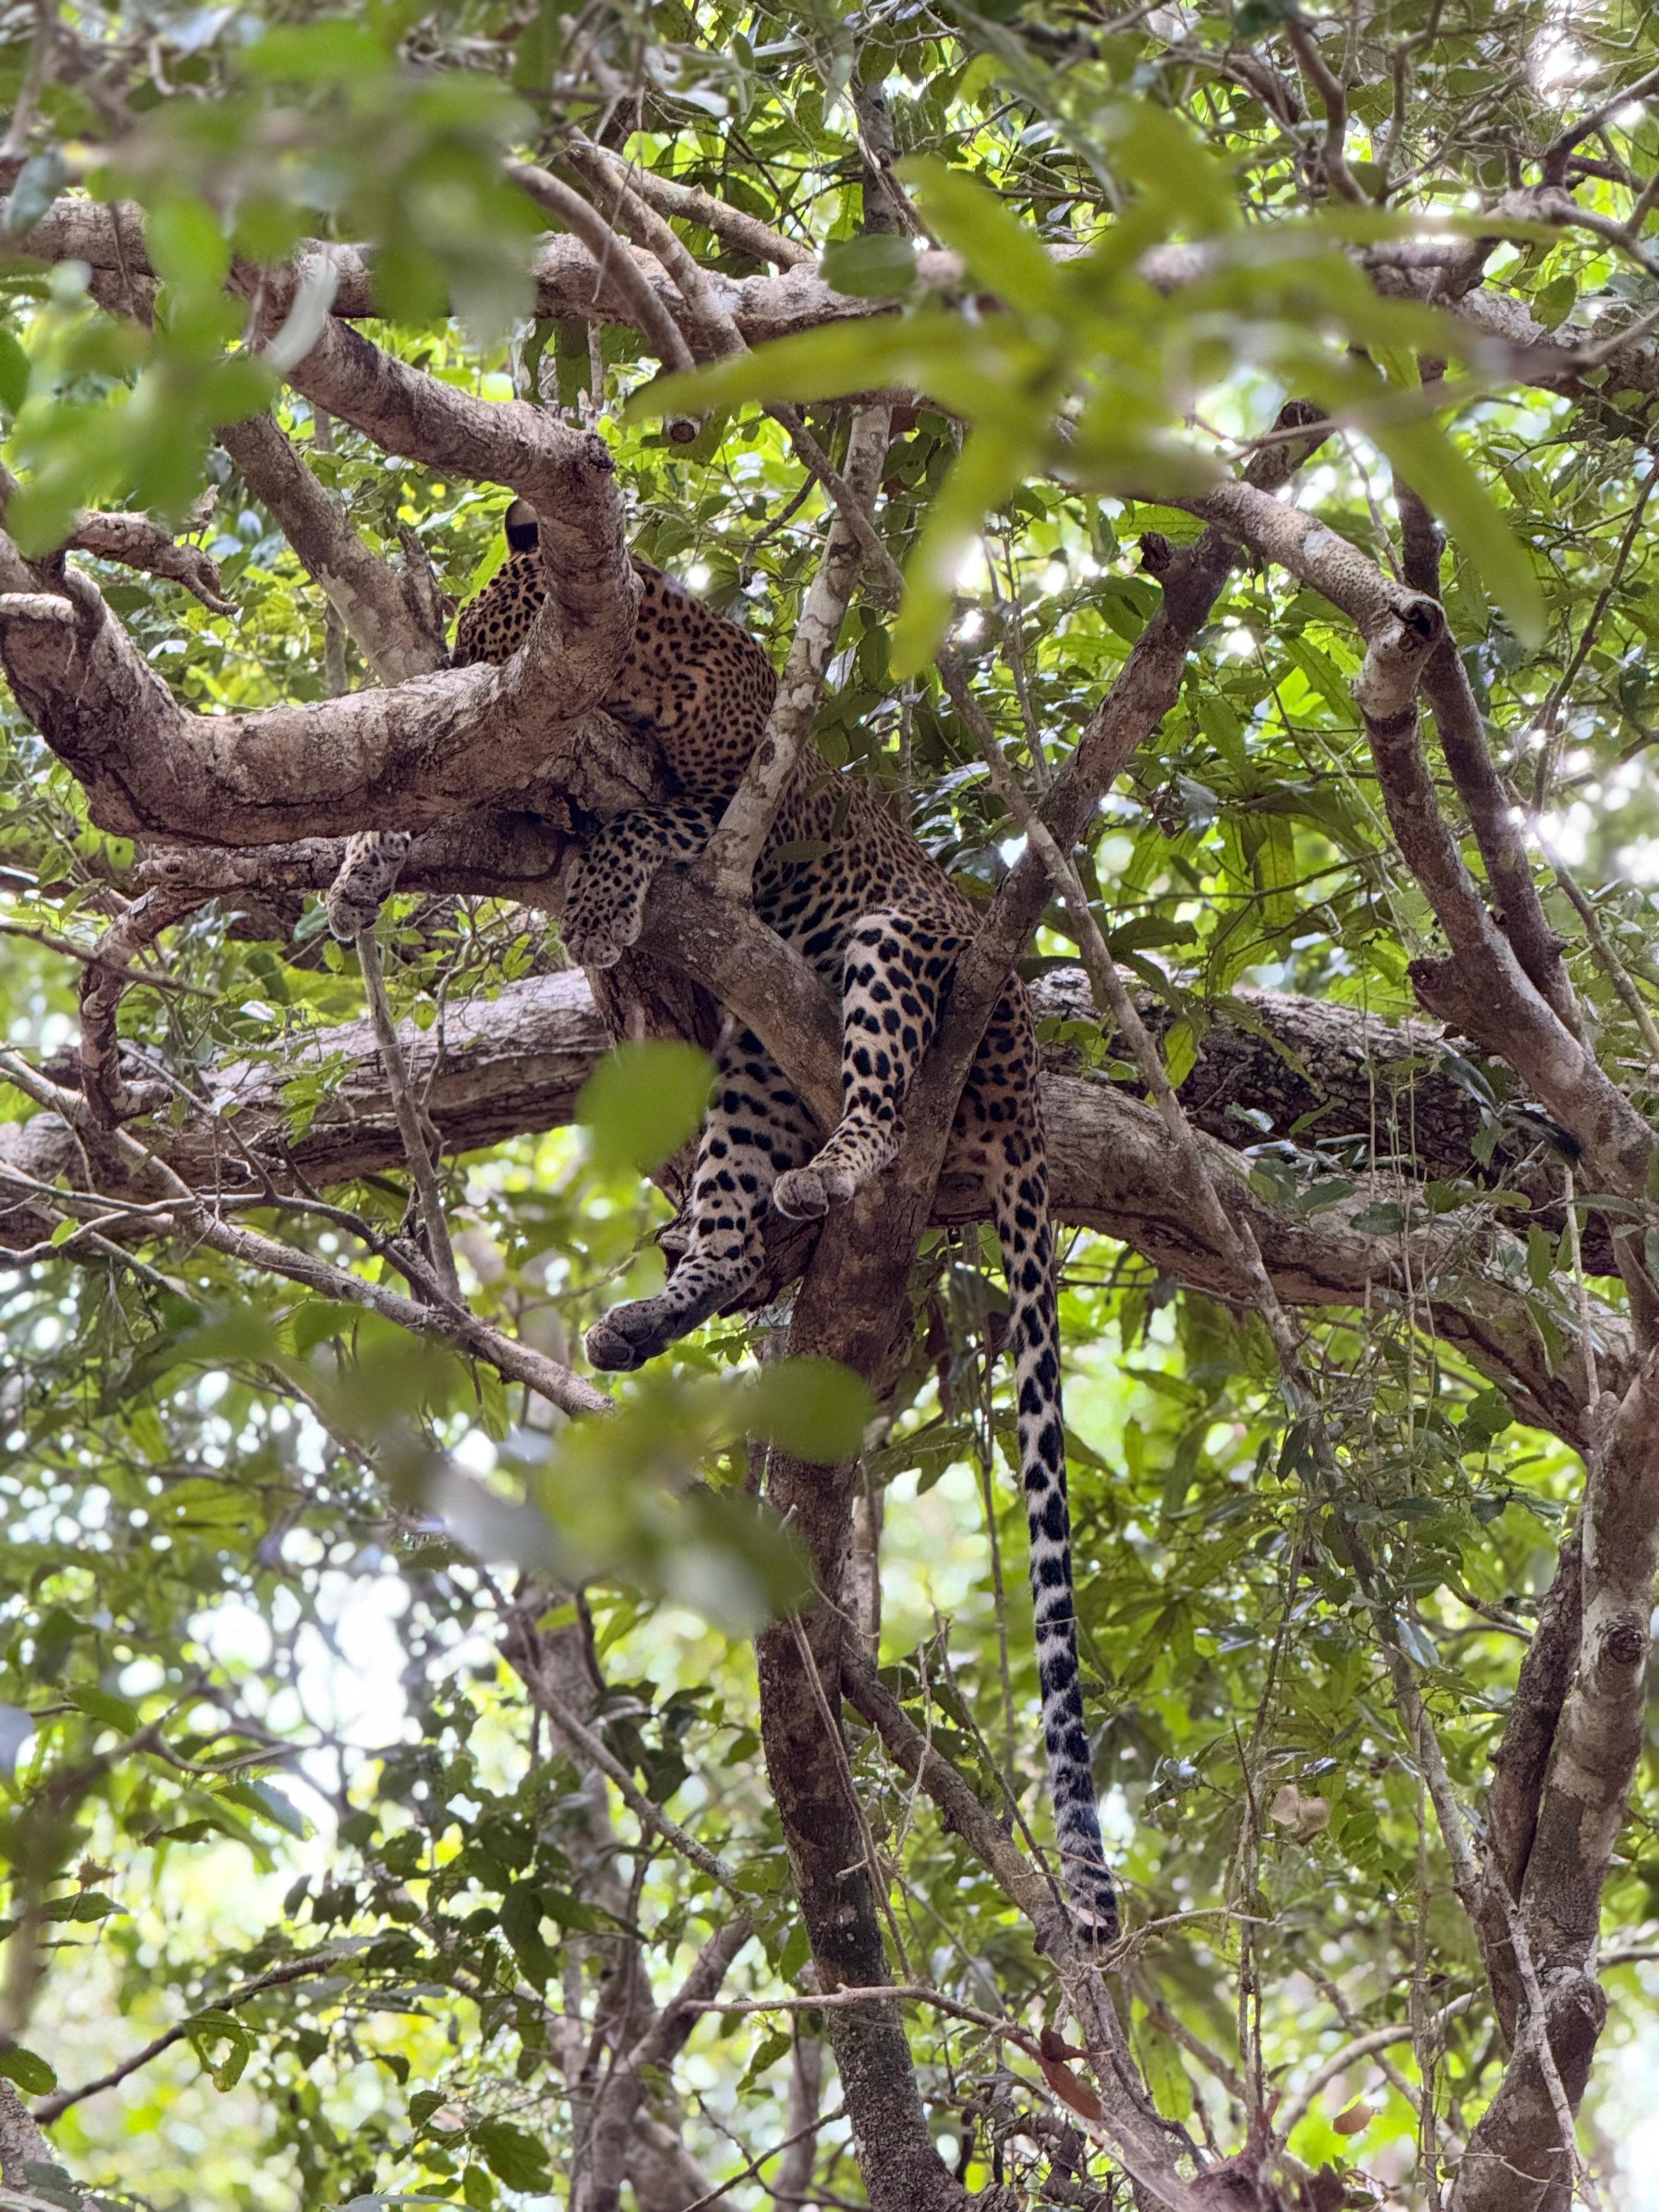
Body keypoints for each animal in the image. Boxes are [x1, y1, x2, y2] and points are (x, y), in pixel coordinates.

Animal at [453, 497, 1119, 1945]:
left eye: (481, 637)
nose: (466, 705)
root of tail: (1034, 1084)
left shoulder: (731, 808)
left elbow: (648, 829)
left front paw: (599, 894)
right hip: (757, 1062)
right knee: (731, 1236)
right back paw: (653, 1313)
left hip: (895, 951)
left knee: (873, 1109)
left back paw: (840, 1167)